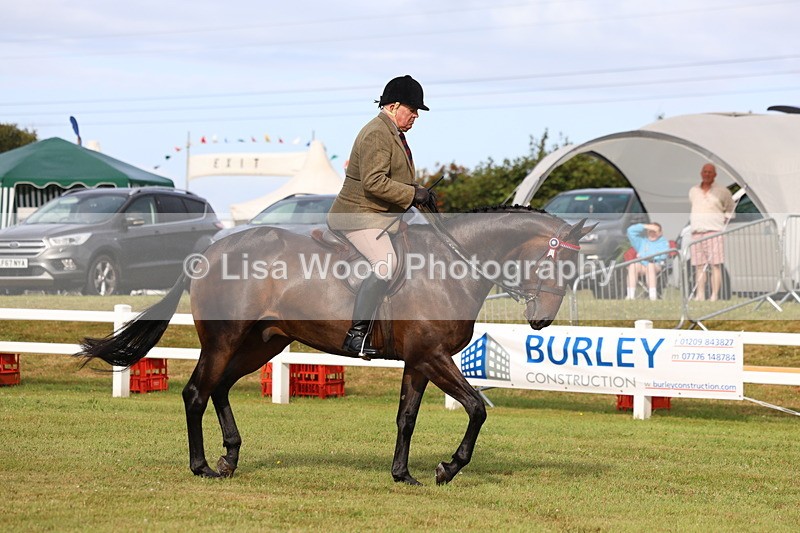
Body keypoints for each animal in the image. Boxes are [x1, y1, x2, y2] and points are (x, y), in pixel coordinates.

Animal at [76, 206, 591, 486]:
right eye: (557, 265)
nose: (542, 319)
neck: (452, 264)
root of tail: (208, 253)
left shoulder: (419, 361)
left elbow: (407, 418)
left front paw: (403, 474)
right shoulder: (433, 357)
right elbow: (477, 408)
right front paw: (448, 468)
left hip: (261, 344)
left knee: (218, 389)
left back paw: (230, 456)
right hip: (224, 340)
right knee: (196, 392)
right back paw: (202, 465)